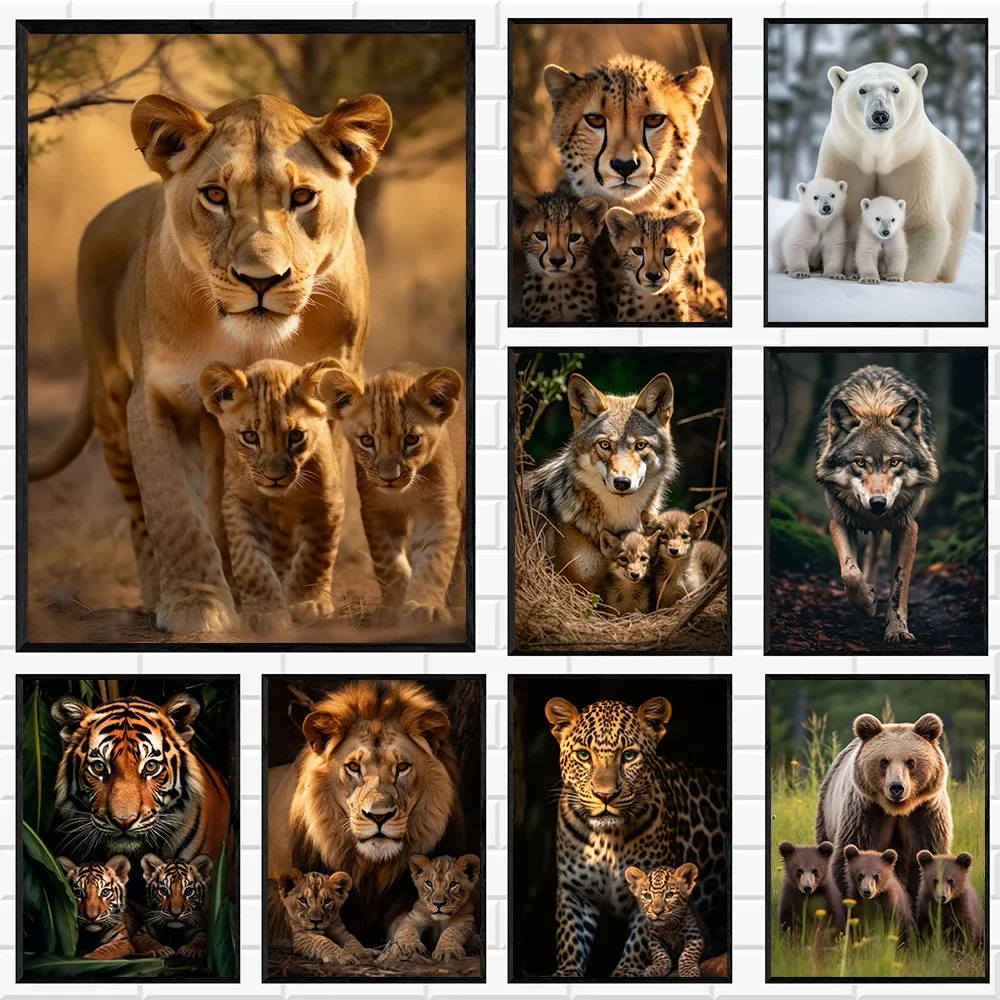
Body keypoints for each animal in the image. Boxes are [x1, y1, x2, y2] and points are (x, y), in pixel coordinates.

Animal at [28, 91, 392, 635]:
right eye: (216, 195)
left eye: (302, 197)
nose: (261, 279)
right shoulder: (156, 399)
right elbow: (174, 512)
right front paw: (197, 608)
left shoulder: (332, 398)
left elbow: (322, 503)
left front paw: (301, 597)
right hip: (112, 407)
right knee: (139, 516)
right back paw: (159, 595)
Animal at [815, 712, 952, 898]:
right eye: (884, 761)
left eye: (910, 762)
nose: (896, 787)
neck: (897, 810)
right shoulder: (865, 814)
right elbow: (853, 854)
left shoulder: (925, 816)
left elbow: (929, 854)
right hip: (826, 814)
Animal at [816, 62, 976, 283]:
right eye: (862, 90)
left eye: (896, 89)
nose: (880, 115)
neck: (879, 154)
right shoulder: (845, 162)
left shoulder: (913, 165)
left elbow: (922, 223)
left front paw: (895, 274)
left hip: (961, 197)